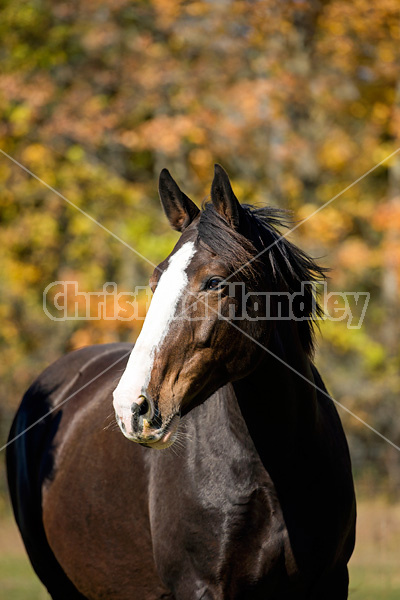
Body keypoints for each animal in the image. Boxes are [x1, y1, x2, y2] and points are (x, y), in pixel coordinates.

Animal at [7, 165, 356, 600]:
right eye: (156, 280)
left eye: (215, 282)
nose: (131, 407)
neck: (279, 472)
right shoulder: (200, 587)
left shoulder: (332, 581)